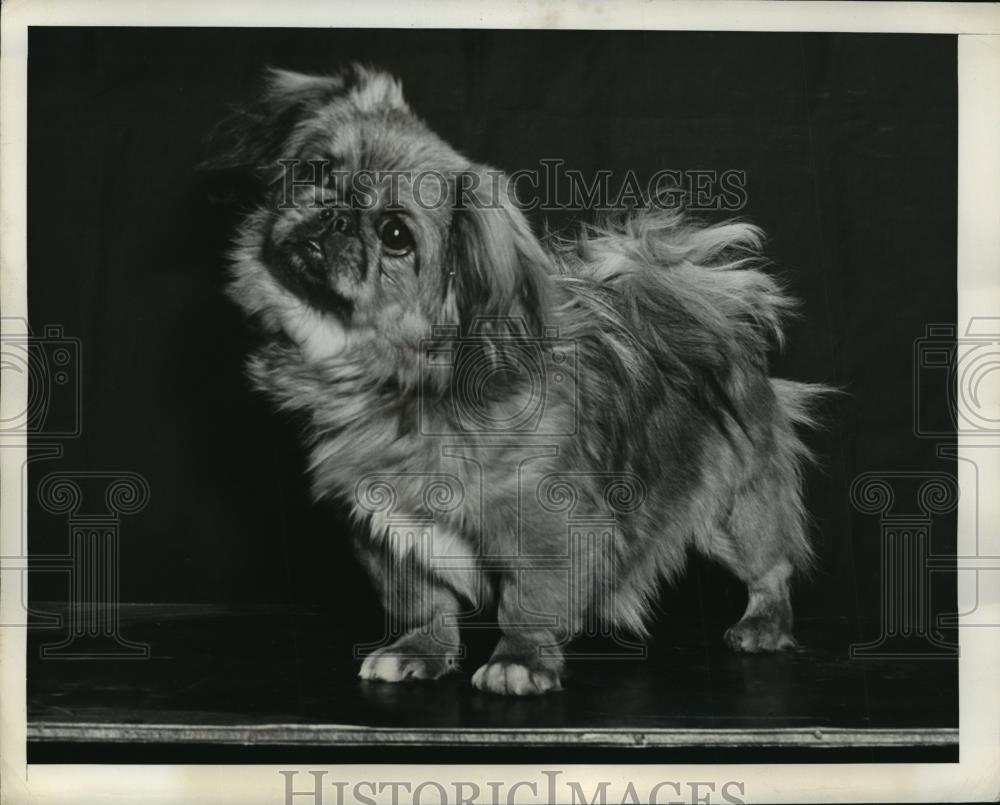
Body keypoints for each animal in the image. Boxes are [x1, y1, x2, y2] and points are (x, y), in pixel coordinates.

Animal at [209, 66, 828, 696]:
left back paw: (763, 625)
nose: (337, 210)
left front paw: (521, 661)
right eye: (314, 170)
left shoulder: (543, 523)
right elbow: (423, 603)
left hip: (738, 507)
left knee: (772, 567)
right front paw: (420, 652)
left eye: (396, 234)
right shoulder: (389, 536)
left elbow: (527, 602)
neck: (402, 383)